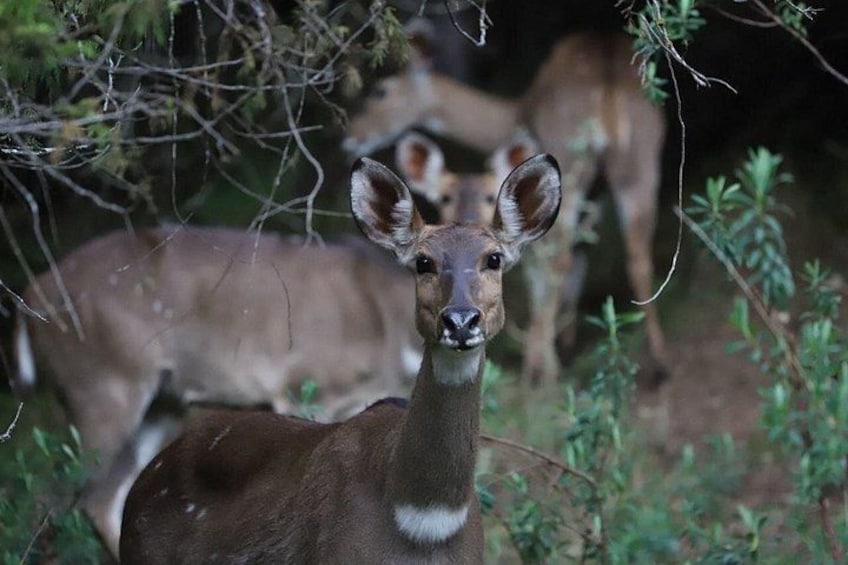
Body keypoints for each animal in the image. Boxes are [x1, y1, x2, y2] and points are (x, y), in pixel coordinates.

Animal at [13, 225, 421, 558]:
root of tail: (27, 302)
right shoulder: (304, 385)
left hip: (160, 402)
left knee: (106, 494)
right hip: (103, 384)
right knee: (59, 493)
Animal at [343, 31, 668, 386]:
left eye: (381, 90)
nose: (351, 138)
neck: (514, 115)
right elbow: (582, 255)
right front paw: (566, 343)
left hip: (573, 160)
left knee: (560, 260)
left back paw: (538, 369)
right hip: (641, 159)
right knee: (637, 254)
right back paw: (657, 362)